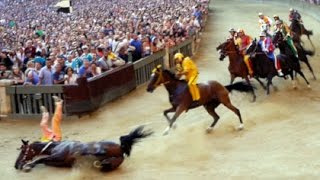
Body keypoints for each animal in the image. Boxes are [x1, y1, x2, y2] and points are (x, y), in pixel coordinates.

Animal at [15, 126, 153, 172]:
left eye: (23, 150)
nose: (16, 165)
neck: (57, 146)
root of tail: (120, 147)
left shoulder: (57, 156)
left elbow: (39, 160)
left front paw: (28, 165)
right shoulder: (59, 161)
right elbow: (43, 161)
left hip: (98, 148)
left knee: (98, 153)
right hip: (110, 163)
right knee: (104, 165)